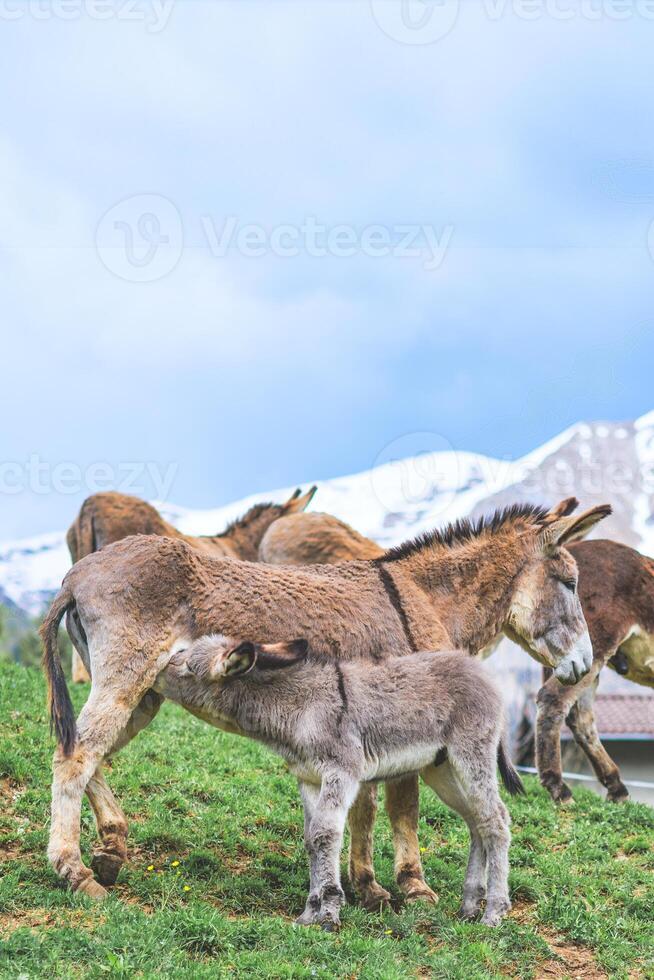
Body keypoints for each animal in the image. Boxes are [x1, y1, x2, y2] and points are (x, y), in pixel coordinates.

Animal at [155, 632, 528, 932]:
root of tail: (481, 672)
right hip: (442, 769)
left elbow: (326, 834)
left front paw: (330, 912)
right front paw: (309, 913)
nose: (154, 673)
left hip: (471, 754)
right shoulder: (308, 779)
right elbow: (311, 838)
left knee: (495, 821)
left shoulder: (342, 773)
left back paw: (493, 913)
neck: (301, 709)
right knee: (476, 822)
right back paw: (468, 906)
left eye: (185, 664)